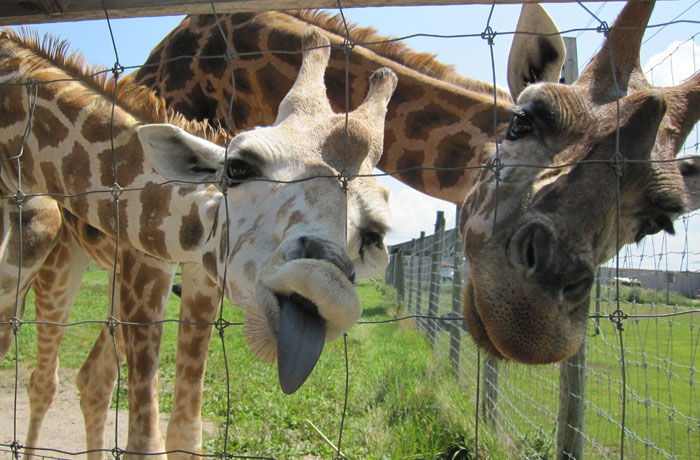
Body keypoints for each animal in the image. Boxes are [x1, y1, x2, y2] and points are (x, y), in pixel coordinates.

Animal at [0, 27, 394, 460]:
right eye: (238, 166)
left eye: (373, 235)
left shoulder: (201, 278)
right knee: (41, 377)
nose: (322, 291)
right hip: (52, 253)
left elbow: (185, 433)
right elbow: (144, 439)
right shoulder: (144, 267)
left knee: (92, 380)